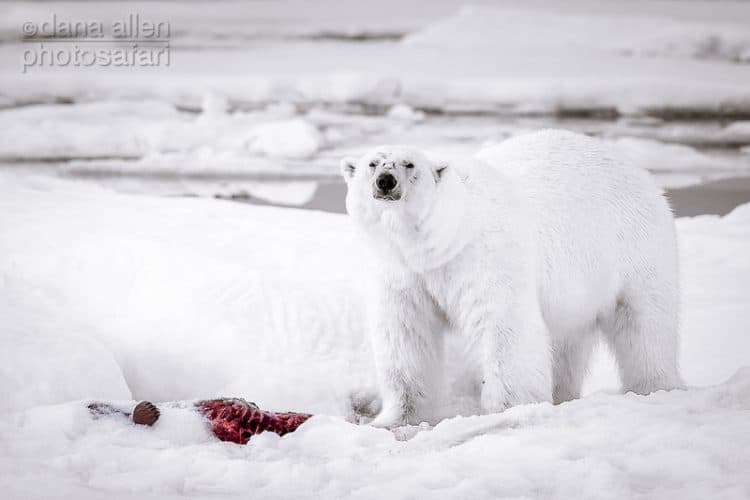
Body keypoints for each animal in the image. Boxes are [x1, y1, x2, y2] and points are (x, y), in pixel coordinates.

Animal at [340, 129, 683, 428]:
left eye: (410, 164)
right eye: (372, 163)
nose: (386, 181)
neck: (446, 239)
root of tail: (641, 173)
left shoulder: (485, 258)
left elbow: (504, 326)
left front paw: (508, 410)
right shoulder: (403, 274)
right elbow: (406, 335)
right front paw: (394, 418)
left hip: (634, 250)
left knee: (645, 327)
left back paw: (655, 386)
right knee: (566, 342)